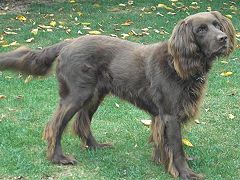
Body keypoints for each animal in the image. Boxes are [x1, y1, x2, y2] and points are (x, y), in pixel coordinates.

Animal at [0, 11, 236, 179]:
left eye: (217, 25)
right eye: (201, 29)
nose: (223, 38)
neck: (177, 63)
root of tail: (67, 43)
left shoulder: (161, 116)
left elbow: (164, 143)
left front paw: (162, 162)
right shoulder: (170, 114)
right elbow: (176, 147)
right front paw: (185, 173)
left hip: (94, 95)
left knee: (82, 121)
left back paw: (95, 146)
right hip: (76, 95)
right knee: (55, 125)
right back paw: (58, 158)